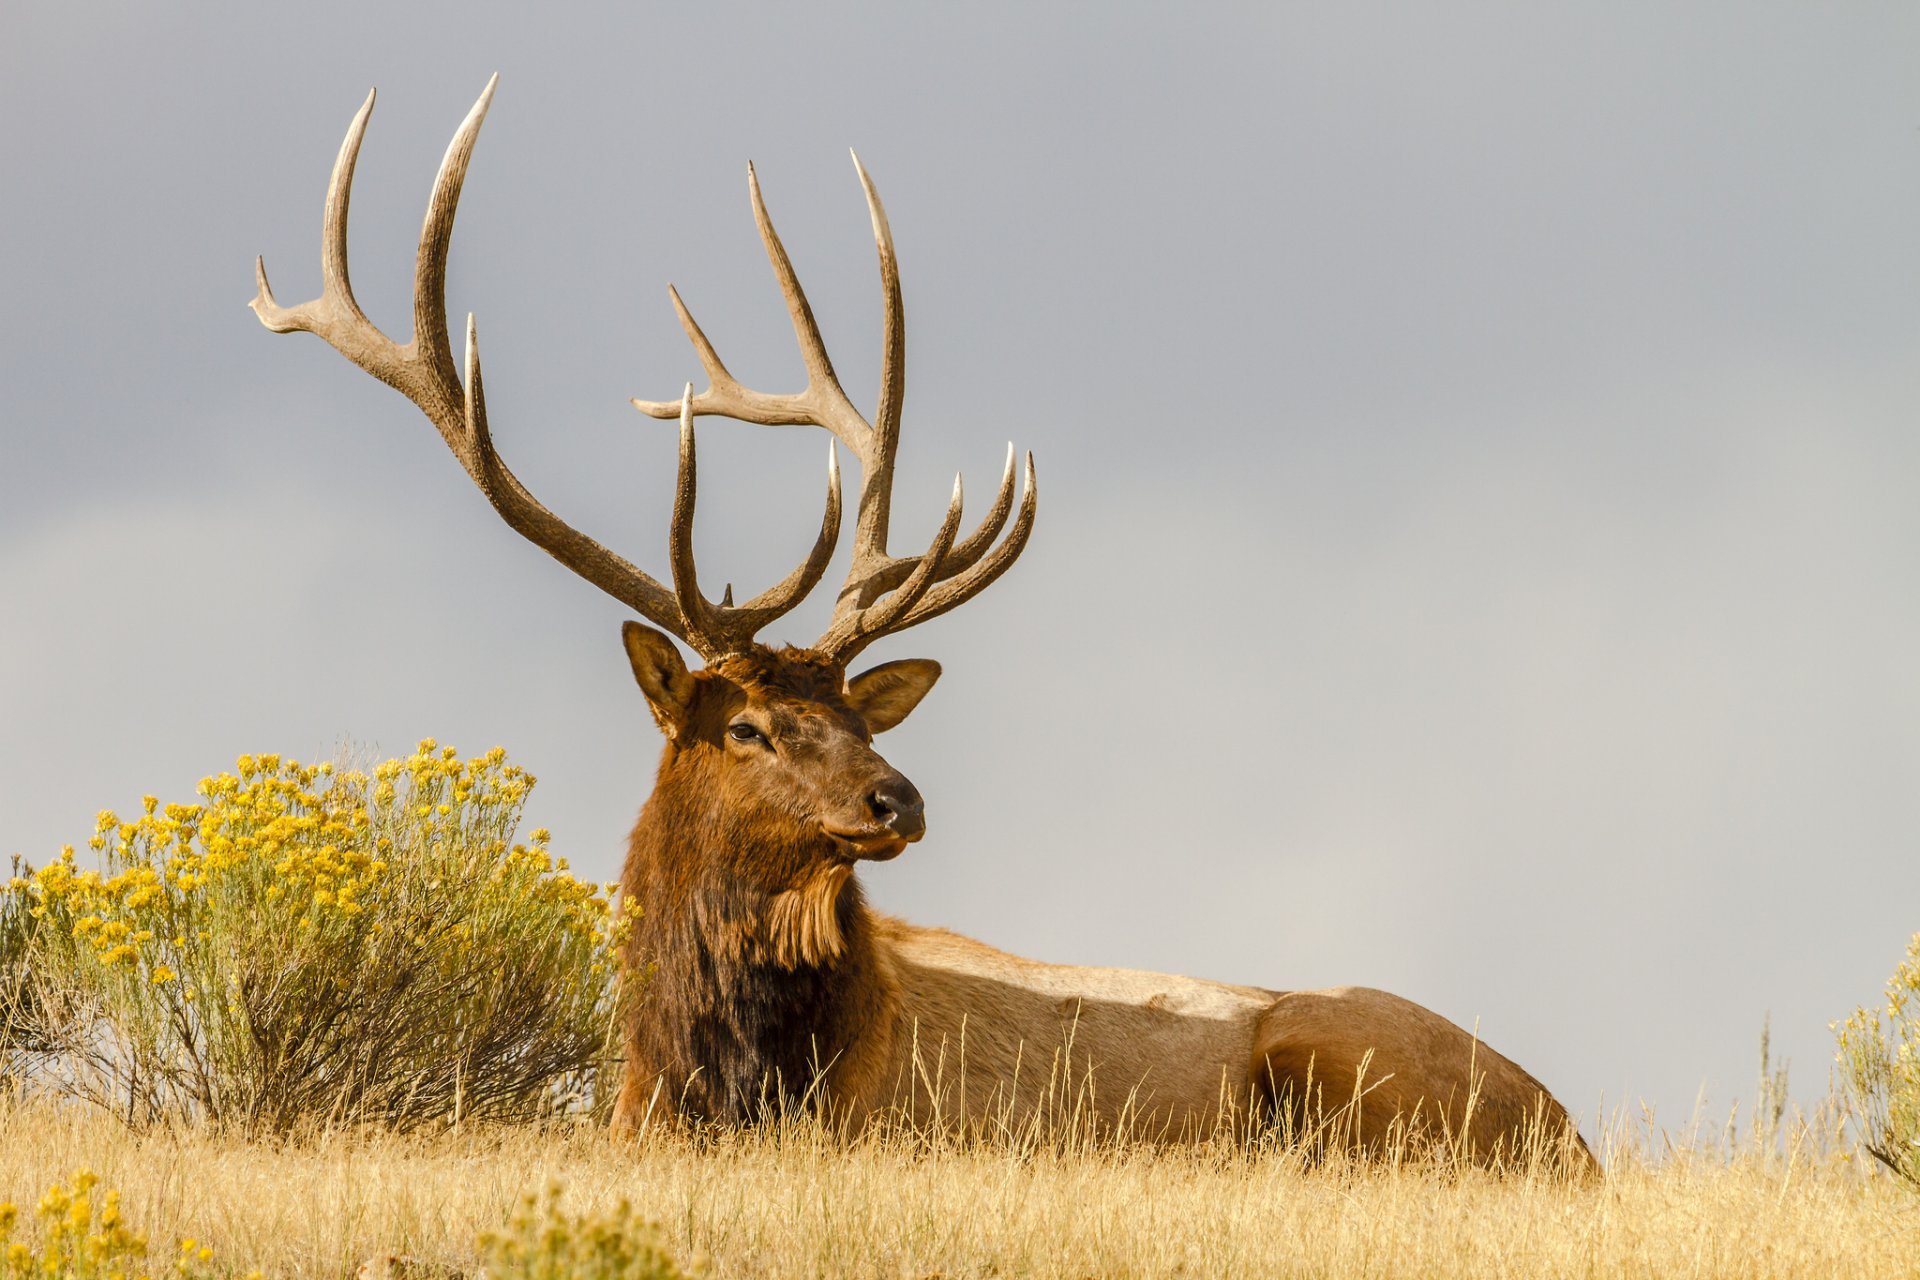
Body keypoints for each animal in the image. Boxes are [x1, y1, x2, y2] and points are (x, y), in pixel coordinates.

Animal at [252, 78, 1593, 1170]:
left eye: (858, 713)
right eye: (746, 724)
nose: (897, 798)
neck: (716, 1078)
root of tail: (1571, 1129)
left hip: (1337, 1054)